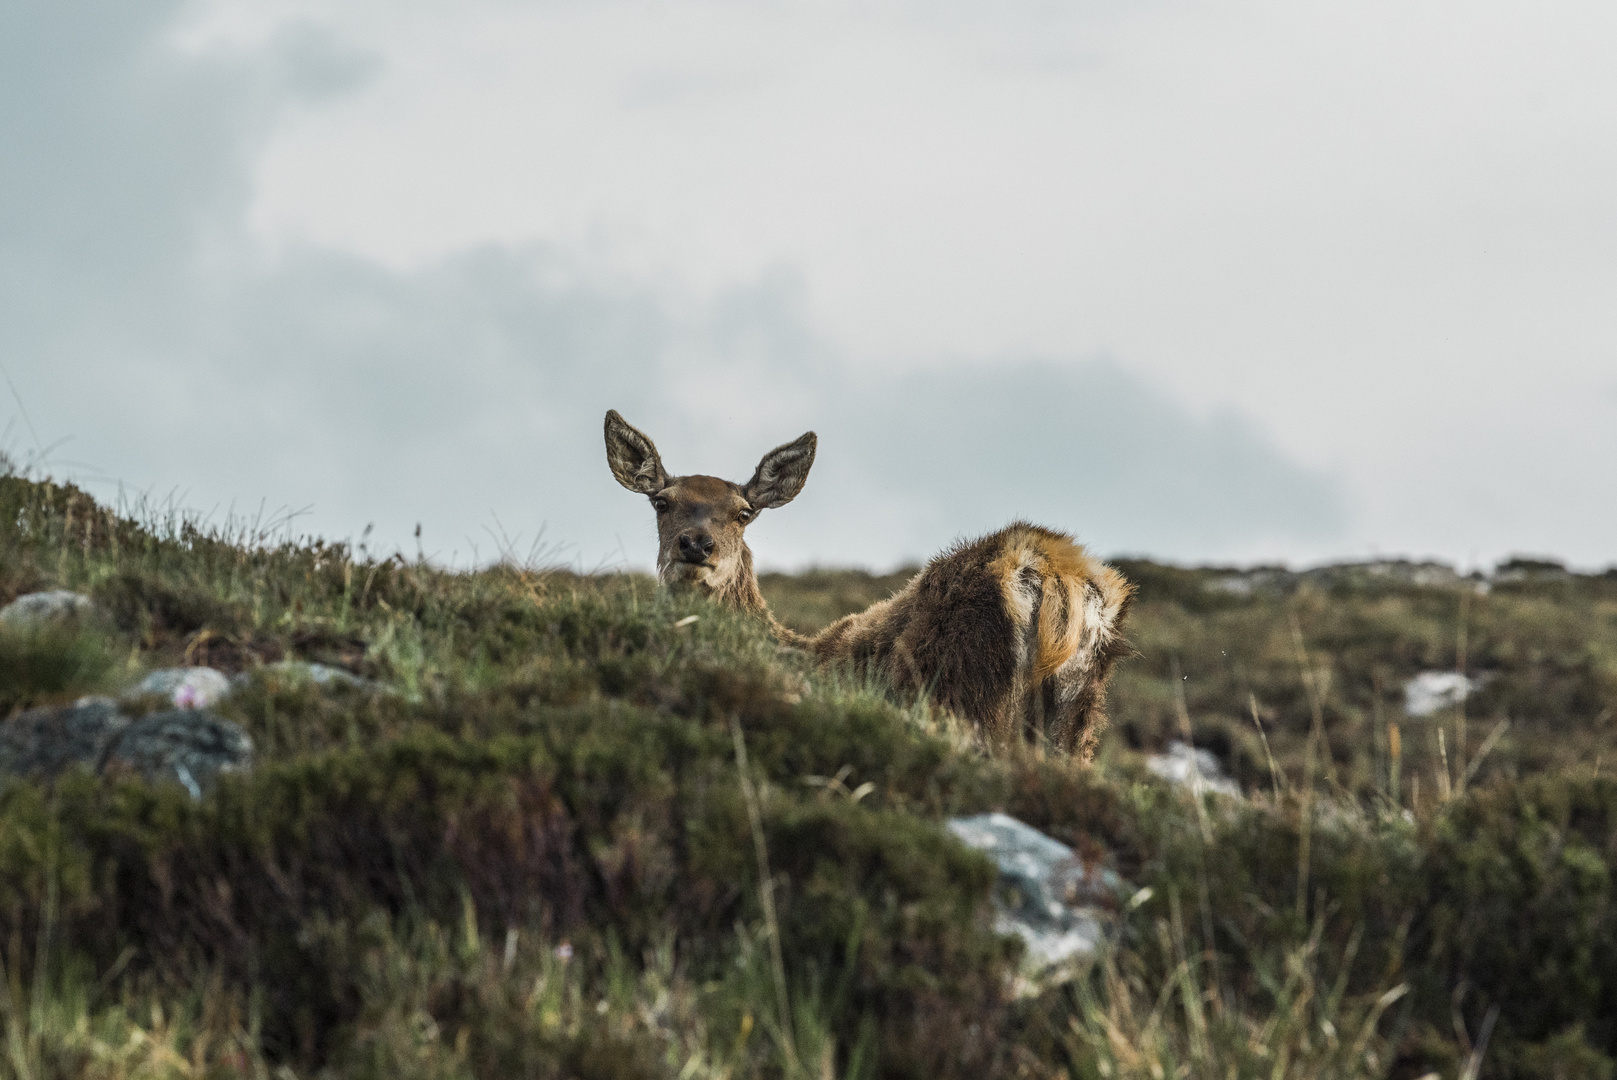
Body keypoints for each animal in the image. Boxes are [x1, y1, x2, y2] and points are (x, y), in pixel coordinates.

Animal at [607, 410, 1138, 759]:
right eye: (662, 502)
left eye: (743, 513)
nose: (696, 545)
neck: (796, 651)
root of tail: (1057, 576)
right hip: (1075, 721)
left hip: (961, 693)